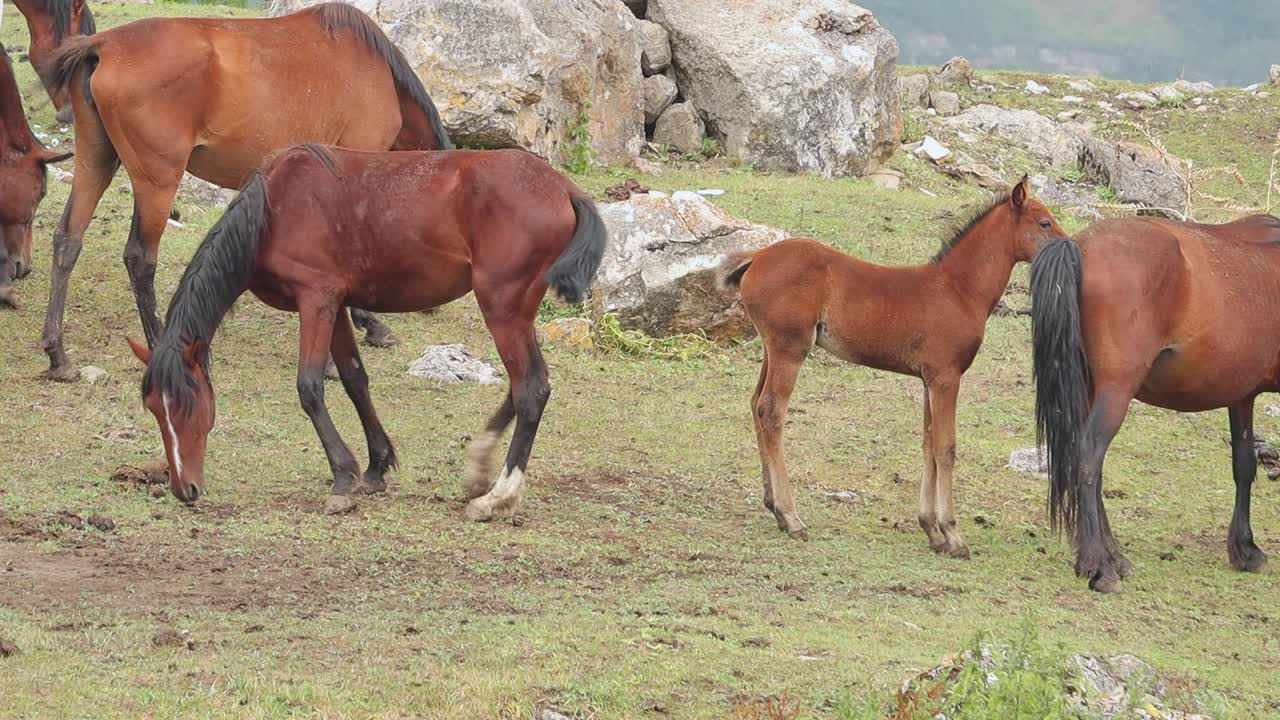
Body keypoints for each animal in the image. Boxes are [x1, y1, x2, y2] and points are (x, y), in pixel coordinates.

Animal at [34, 2, 452, 380]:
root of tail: (102, 45)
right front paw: (365, 327)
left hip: (95, 162)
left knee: (68, 240)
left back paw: (58, 356)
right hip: (157, 181)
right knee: (140, 259)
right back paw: (157, 345)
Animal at [125, 145, 606, 518]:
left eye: (188, 405)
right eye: (153, 408)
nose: (184, 489)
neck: (275, 208)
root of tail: (564, 188)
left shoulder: (316, 299)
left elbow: (310, 386)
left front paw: (343, 477)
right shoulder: (335, 305)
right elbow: (355, 378)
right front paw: (376, 467)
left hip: (502, 308)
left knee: (531, 388)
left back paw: (496, 497)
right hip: (514, 314)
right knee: (524, 384)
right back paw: (478, 468)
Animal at [717, 177, 1064, 554]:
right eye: (1044, 223)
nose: (1069, 247)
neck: (958, 289)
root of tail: (757, 256)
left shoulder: (929, 379)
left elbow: (928, 443)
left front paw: (932, 530)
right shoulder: (946, 377)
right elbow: (946, 447)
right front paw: (953, 535)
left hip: (773, 348)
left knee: (755, 405)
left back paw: (774, 509)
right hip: (790, 349)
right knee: (772, 411)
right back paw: (791, 516)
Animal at [1032, 214, 1280, 593]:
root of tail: (1079, 247)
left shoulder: (1241, 396)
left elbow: (1243, 465)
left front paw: (1245, 550)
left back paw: (1113, 558)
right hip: (1115, 390)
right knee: (1088, 459)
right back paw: (1100, 566)